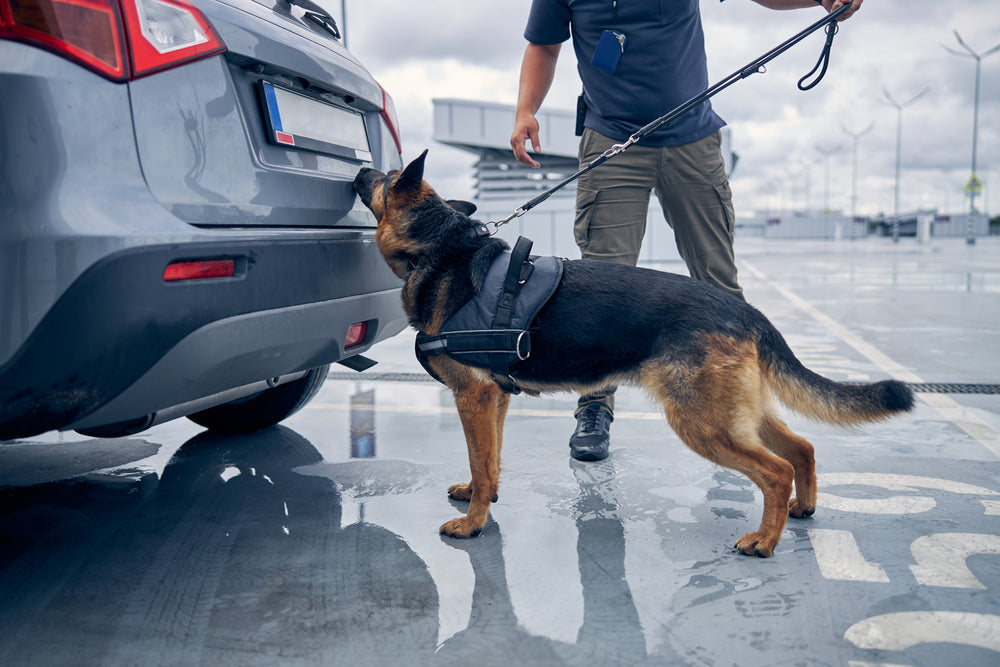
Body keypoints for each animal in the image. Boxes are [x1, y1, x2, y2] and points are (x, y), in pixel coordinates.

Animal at [354, 151, 916, 560]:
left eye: (386, 176)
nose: (360, 167)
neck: (441, 248)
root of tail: (745, 310)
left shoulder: (472, 396)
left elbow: (481, 456)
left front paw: (473, 523)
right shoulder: (495, 399)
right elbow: (488, 459)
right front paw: (479, 495)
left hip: (700, 421)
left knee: (776, 470)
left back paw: (764, 540)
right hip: (736, 413)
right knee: (802, 449)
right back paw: (804, 509)